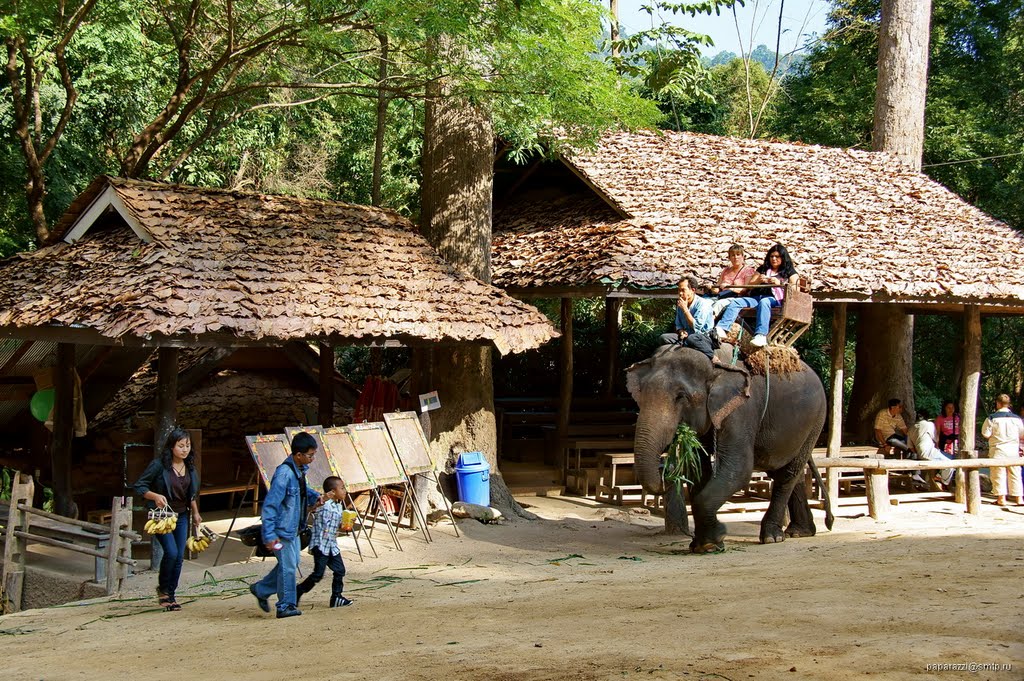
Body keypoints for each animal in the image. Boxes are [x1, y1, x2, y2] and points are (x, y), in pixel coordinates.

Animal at [622, 346, 831, 552]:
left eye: (681, 396)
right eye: (641, 393)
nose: (665, 468)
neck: (715, 366)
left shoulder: (741, 409)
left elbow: (738, 469)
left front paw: (715, 538)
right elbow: (699, 469)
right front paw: (702, 545)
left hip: (815, 422)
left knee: (787, 475)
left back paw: (773, 537)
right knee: (789, 472)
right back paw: (799, 532)